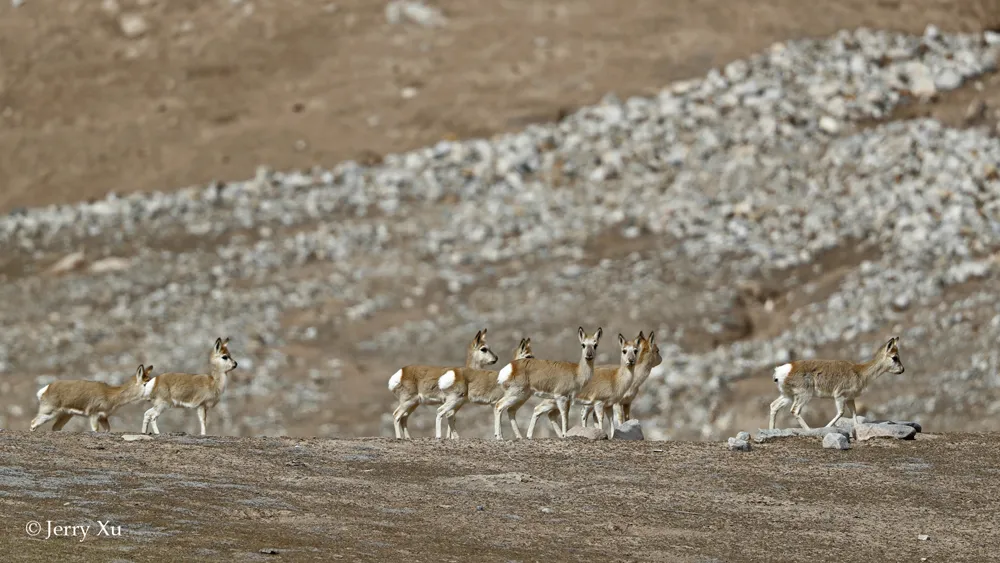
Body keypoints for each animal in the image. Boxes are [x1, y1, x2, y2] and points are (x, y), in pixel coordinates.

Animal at [764, 334, 908, 432]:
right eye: (894, 357)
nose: (902, 370)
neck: (859, 372)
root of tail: (784, 369)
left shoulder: (850, 399)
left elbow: (854, 415)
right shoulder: (839, 397)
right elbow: (841, 413)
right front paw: (826, 427)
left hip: (788, 396)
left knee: (774, 405)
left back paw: (772, 430)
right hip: (804, 396)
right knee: (795, 410)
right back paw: (809, 430)